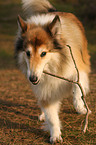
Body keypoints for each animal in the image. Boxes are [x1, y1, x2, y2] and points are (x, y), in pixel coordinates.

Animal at [15, 0, 91, 143]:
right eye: (27, 53)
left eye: (43, 53)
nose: (32, 79)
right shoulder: (44, 88)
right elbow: (51, 116)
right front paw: (55, 135)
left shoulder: (78, 69)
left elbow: (77, 87)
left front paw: (79, 106)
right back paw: (42, 115)